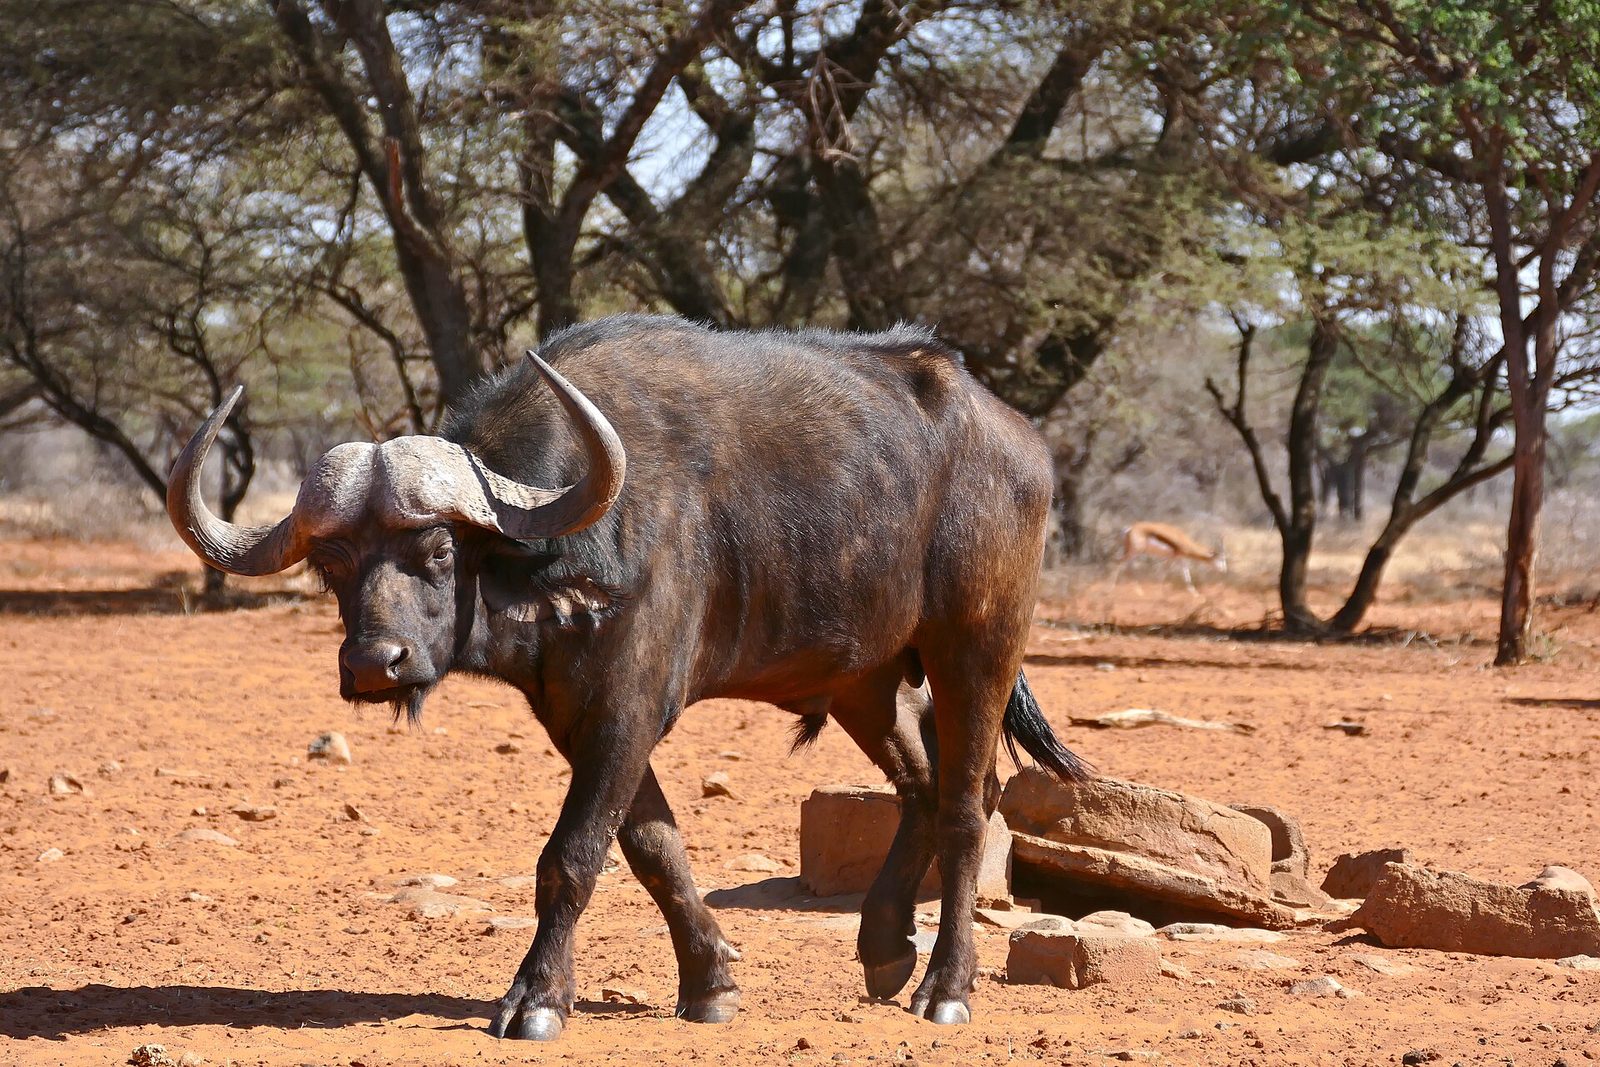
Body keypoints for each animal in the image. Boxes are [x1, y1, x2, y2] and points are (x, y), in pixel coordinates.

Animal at [165, 315, 1087, 1040]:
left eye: (437, 552)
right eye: (331, 566)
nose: (372, 665)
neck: (563, 551)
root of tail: (1018, 440)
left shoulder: (627, 709)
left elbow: (572, 856)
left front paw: (536, 998)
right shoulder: (582, 719)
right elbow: (653, 847)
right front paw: (711, 982)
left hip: (976, 646)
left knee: (968, 803)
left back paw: (945, 987)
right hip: (869, 679)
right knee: (924, 786)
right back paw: (886, 947)